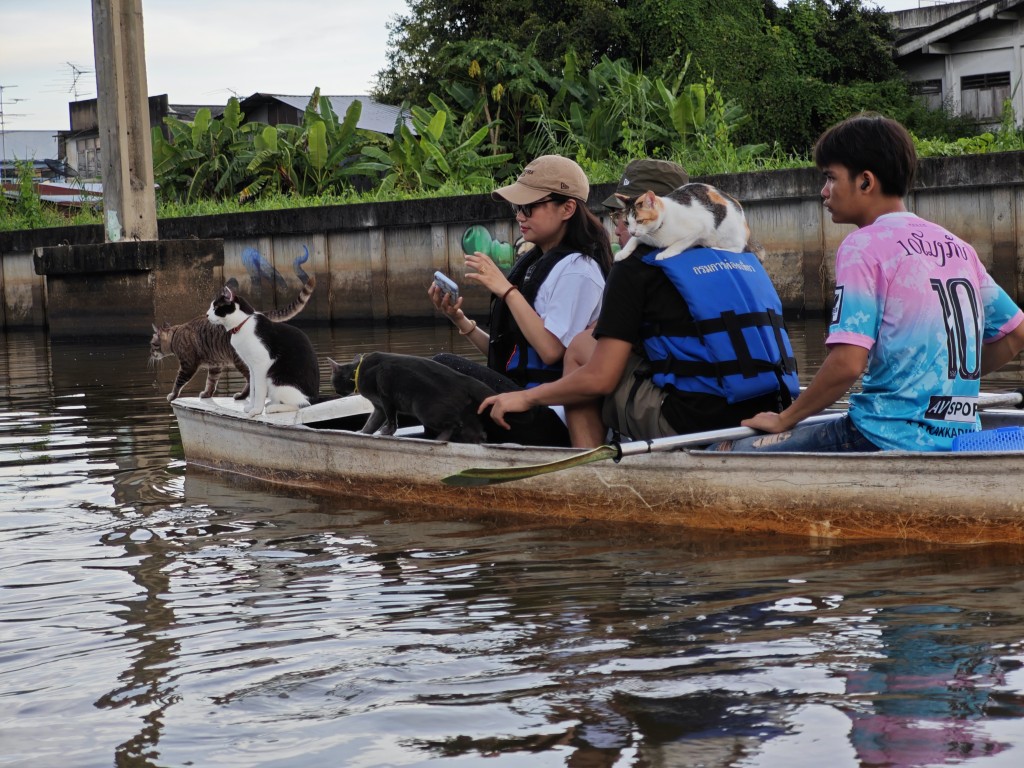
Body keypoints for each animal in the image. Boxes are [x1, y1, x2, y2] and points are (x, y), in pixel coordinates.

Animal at [151, 276, 315, 403]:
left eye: (153, 345)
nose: (151, 354)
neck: (175, 334)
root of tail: (257, 313)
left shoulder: (187, 365)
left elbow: (178, 382)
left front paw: (172, 395)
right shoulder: (215, 366)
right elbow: (211, 382)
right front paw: (207, 394)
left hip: (240, 361)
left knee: (250, 380)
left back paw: (242, 395)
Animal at [204, 284, 319, 417]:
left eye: (216, 307)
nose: (206, 314)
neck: (243, 324)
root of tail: (315, 398)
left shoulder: (261, 365)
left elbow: (258, 390)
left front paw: (257, 410)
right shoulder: (251, 367)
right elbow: (253, 389)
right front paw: (251, 407)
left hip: (276, 379)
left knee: (302, 404)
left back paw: (273, 408)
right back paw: (272, 403)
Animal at [329, 352, 497, 442]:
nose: (336, 392)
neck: (357, 371)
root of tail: (465, 380)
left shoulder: (385, 397)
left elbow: (391, 419)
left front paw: (387, 431)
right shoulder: (378, 407)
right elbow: (371, 423)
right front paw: (361, 433)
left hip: (424, 409)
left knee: (455, 425)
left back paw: (439, 439)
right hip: (467, 413)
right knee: (478, 432)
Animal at [610, 182, 749, 262]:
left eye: (640, 221)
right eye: (626, 223)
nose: (632, 232)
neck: (656, 233)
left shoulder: (701, 227)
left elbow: (678, 244)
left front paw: (665, 253)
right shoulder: (643, 236)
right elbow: (632, 241)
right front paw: (621, 253)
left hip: (728, 234)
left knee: (738, 248)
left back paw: (717, 248)